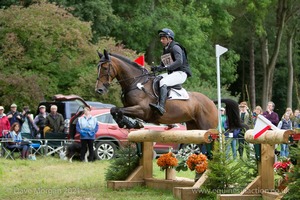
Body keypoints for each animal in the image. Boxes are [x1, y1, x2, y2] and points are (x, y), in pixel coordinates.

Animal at [95, 49, 241, 130]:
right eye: (97, 67)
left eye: (105, 68)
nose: (99, 90)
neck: (135, 83)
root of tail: (210, 101)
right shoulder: (130, 107)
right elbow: (114, 110)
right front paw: (129, 124)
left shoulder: (142, 110)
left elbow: (118, 110)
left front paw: (131, 124)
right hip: (193, 126)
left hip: (207, 126)